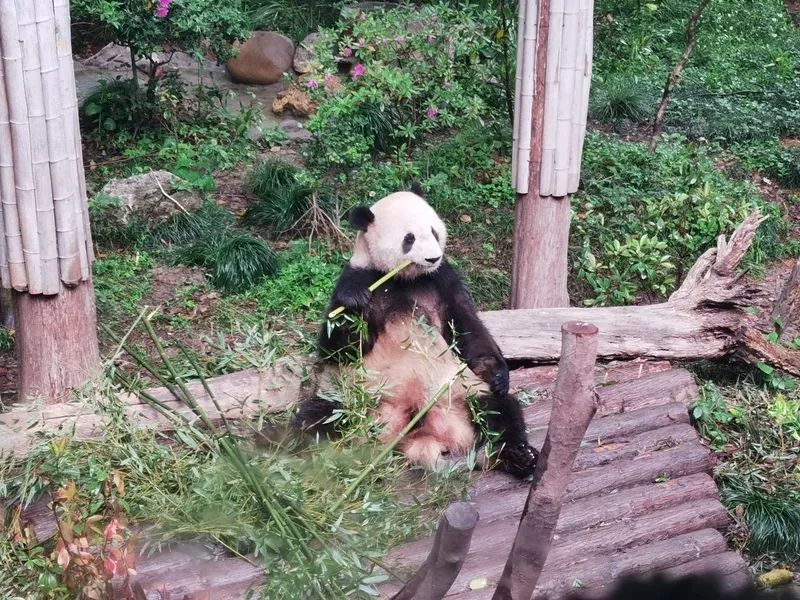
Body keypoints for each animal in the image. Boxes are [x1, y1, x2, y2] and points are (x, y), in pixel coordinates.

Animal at [294, 183, 536, 478]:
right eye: (408, 238)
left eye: (433, 231)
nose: (433, 257)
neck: (406, 279)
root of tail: (419, 439)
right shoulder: (361, 275)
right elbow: (340, 349)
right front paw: (353, 302)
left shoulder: (443, 280)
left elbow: (466, 327)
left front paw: (498, 373)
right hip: (354, 399)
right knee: (316, 418)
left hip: (460, 394)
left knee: (499, 411)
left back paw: (518, 457)